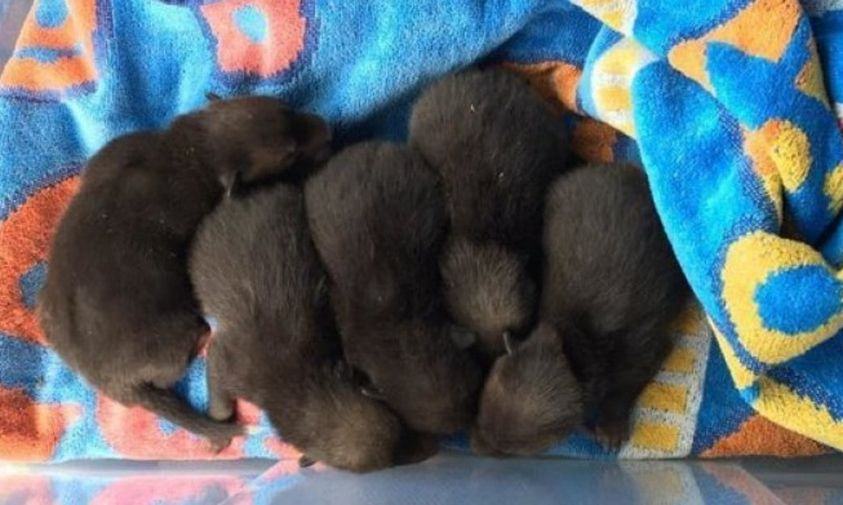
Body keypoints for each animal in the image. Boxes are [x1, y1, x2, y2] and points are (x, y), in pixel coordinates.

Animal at [37, 94, 332, 444]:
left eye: (286, 108)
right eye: (290, 152)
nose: (329, 129)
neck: (196, 146)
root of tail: (114, 386)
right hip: (173, 335)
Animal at [472, 164, 688, 452]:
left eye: (513, 449)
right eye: (480, 413)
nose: (476, 446)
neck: (573, 341)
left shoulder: (641, 345)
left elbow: (625, 382)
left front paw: (610, 426)